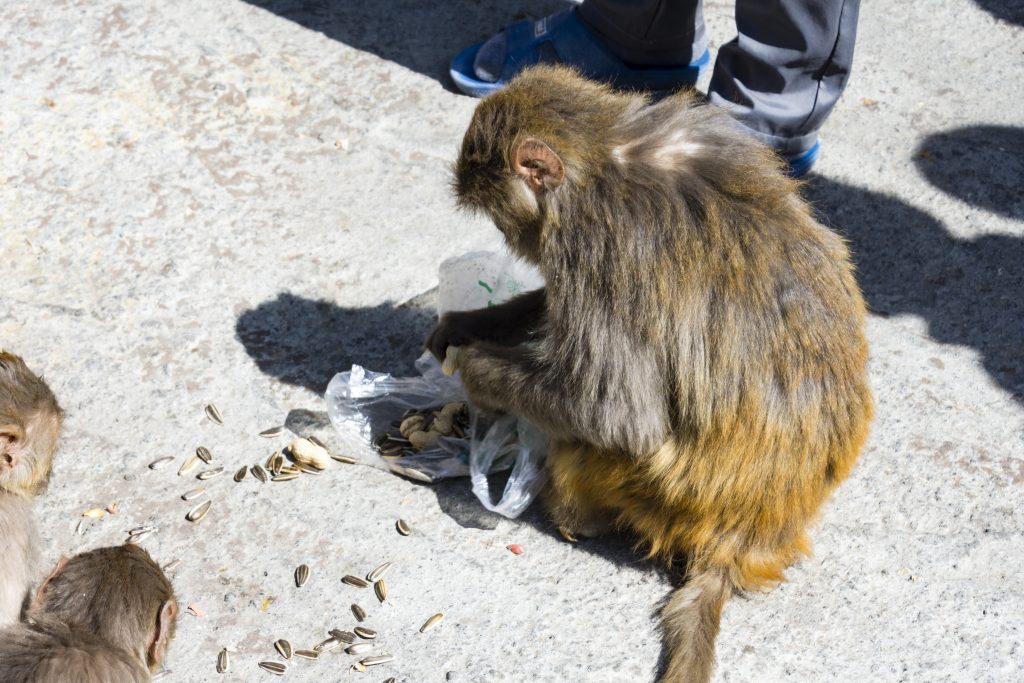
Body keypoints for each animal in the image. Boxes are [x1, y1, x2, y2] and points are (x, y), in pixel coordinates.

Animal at [430, 65, 872, 683]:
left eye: (498, 217)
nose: (512, 240)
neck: (605, 155)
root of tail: (747, 537)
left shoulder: (595, 238)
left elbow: (615, 413)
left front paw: (476, 369)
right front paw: (471, 324)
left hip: (654, 487)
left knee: (593, 438)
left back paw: (574, 515)